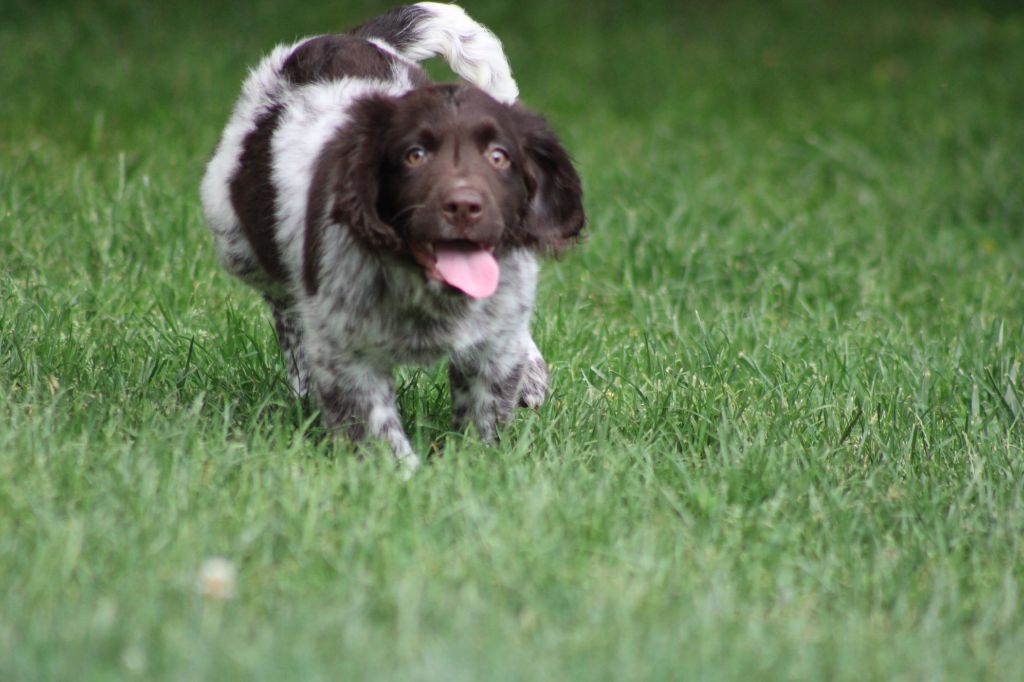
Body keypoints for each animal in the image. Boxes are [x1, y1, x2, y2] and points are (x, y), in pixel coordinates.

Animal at [199, 2, 585, 471]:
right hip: (236, 237)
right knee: (284, 305)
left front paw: (472, 467)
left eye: (499, 157)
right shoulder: (347, 354)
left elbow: (484, 411)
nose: (464, 206)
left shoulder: (493, 342)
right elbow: (376, 429)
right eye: (414, 156)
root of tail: (343, 39)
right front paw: (405, 478)